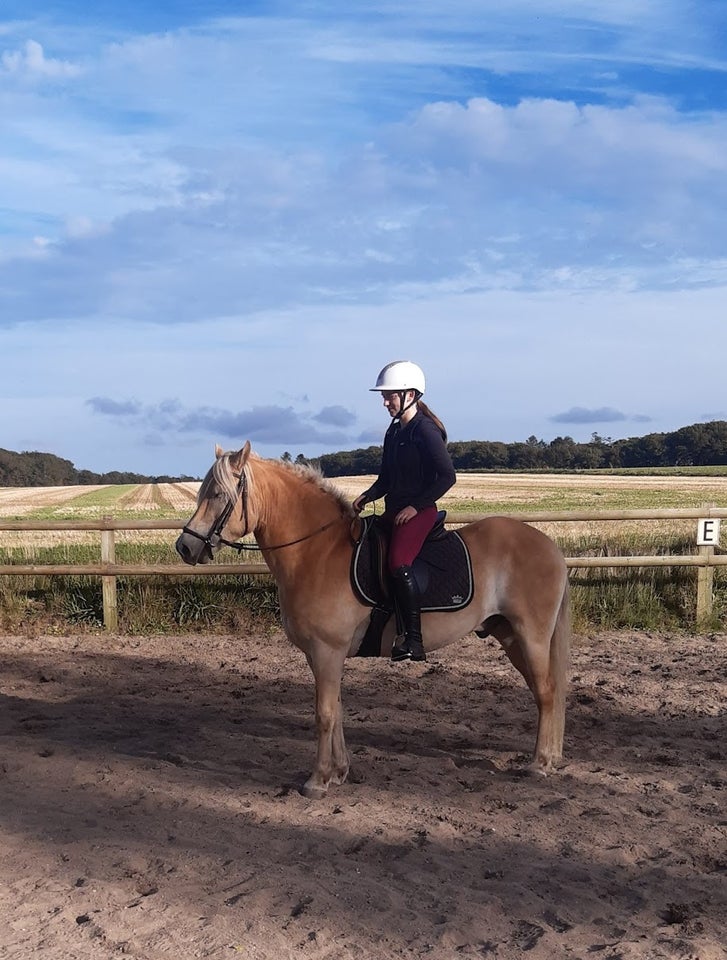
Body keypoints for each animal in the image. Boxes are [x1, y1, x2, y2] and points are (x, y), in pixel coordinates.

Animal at [175, 444, 568, 804]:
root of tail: (550, 546)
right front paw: (339, 772)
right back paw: (546, 757)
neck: (317, 551)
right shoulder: (320, 655)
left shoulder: (327, 651)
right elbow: (336, 710)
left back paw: (539, 764)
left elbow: (324, 713)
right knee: (542, 692)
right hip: (510, 636)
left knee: (547, 691)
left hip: (531, 636)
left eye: (217, 494)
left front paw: (317, 781)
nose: (184, 547)